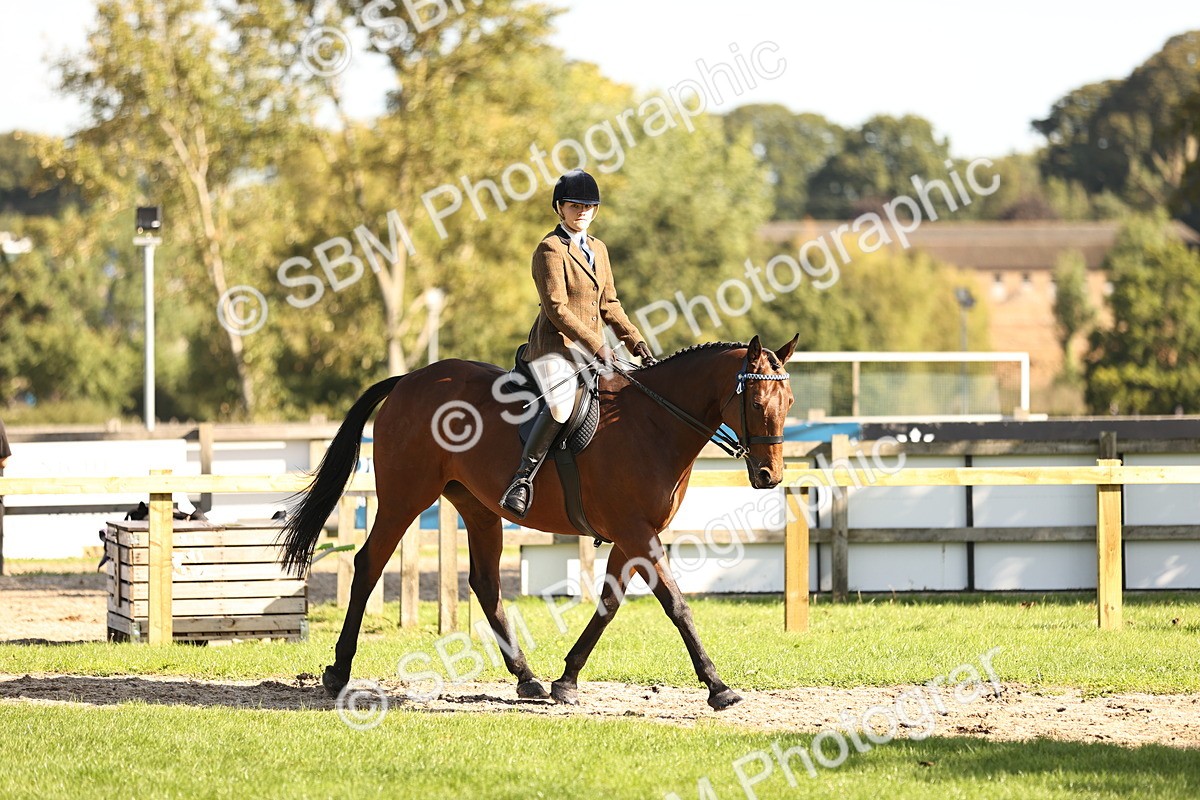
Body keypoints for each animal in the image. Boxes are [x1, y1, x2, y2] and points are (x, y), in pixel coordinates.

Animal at [280, 334, 798, 710]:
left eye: (789, 401)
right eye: (756, 403)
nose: (769, 476)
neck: (654, 423)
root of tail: (410, 379)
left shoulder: (631, 536)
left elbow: (608, 604)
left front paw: (566, 680)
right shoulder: (636, 533)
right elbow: (677, 605)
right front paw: (718, 687)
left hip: (478, 508)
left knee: (486, 583)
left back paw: (526, 678)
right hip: (405, 497)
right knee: (370, 564)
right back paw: (338, 673)